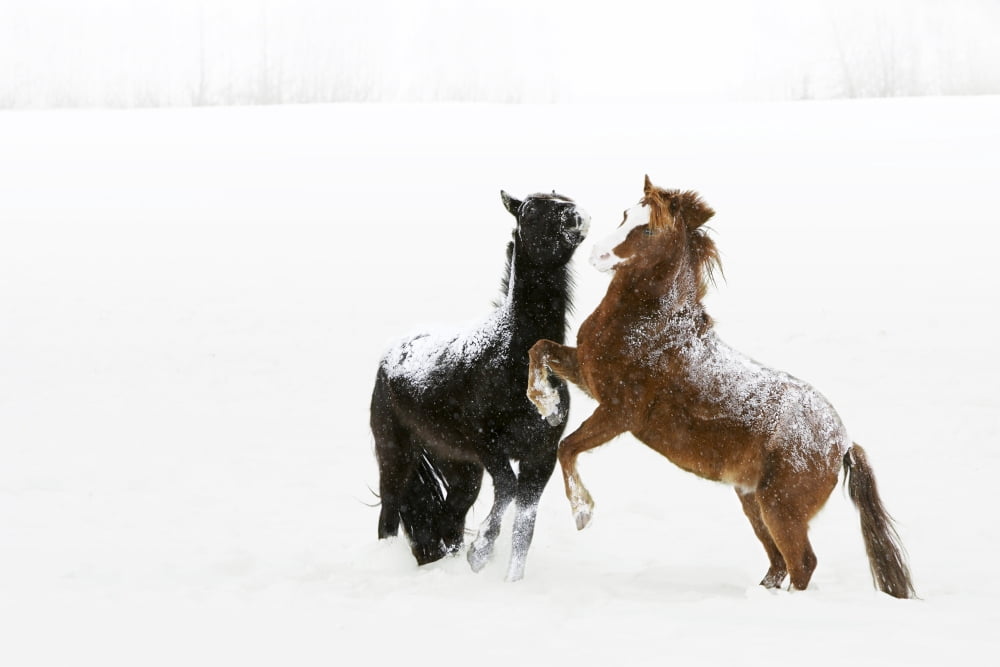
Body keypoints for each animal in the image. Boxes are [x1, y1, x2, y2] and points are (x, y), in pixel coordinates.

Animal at [371, 190, 589, 581]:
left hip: (460, 468)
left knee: (449, 519)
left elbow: (524, 527)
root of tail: (390, 355)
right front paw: (481, 552)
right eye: (529, 211)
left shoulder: (540, 456)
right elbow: (507, 488)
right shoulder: (488, 445)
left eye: (562, 197)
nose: (575, 216)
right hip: (396, 456)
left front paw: (509, 579)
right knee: (390, 515)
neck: (513, 357)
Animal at [527, 175, 915, 598]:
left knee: (802, 563)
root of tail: (843, 443)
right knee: (778, 563)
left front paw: (583, 512)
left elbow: (567, 447)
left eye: (648, 230)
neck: (651, 331)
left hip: (780, 506)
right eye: (626, 214)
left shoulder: (618, 413)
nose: (596, 254)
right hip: (752, 501)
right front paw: (546, 404)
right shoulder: (586, 374)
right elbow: (540, 349)